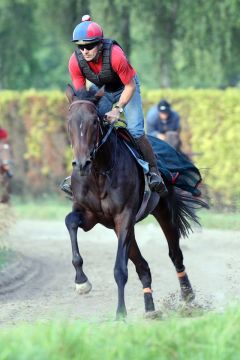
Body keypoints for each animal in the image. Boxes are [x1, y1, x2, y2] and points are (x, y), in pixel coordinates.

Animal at [64, 86, 207, 320]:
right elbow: (71, 222)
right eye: (69, 121)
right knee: (143, 266)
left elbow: (120, 269)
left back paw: (187, 296)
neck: (99, 172)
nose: (82, 163)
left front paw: (120, 314)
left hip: (162, 211)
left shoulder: (124, 216)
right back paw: (149, 307)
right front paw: (81, 282)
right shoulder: (89, 215)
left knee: (175, 255)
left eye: (94, 121)